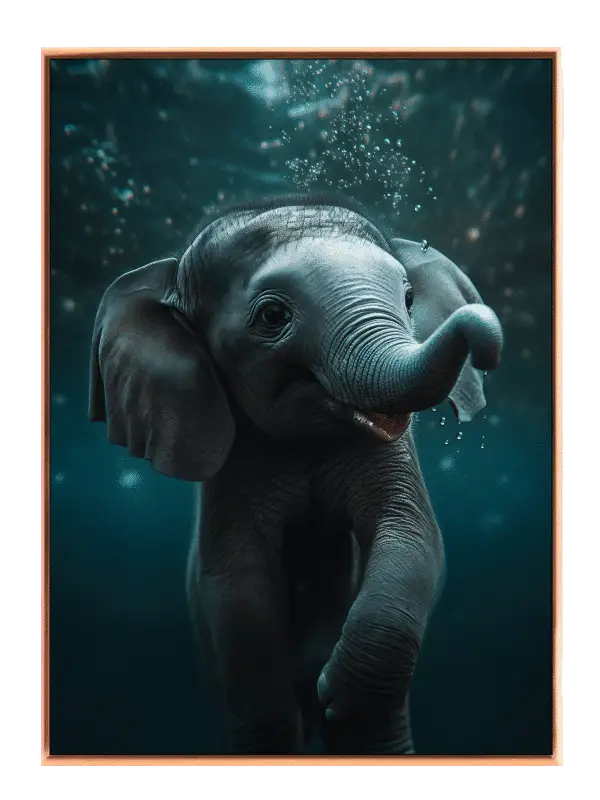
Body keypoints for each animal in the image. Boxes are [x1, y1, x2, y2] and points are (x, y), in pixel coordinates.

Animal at [89, 193, 503, 755]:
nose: (484, 334)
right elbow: (236, 585)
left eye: (409, 297)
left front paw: (337, 694)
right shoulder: (234, 465)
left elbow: (414, 537)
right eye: (272, 316)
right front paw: (321, 694)